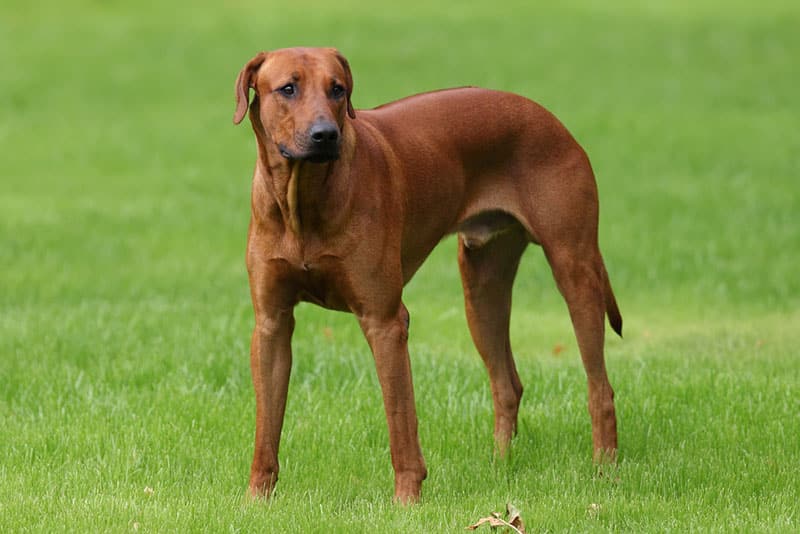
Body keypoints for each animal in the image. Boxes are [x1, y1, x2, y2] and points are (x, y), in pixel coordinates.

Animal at [234, 48, 620, 504]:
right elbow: (266, 425)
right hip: (482, 289)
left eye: (338, 89)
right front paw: (256, 499)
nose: (325, 135)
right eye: (288, 88)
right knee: (507, 384)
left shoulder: (385, 321)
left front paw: (407, 501)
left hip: (574, 270)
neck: (303, 199)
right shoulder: (271, 324)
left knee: (600, 387)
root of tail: (549, 117)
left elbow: (401, 422)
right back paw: (501, 467)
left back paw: (604, 470)